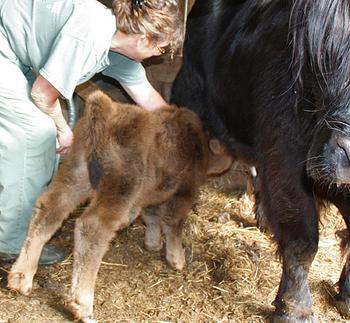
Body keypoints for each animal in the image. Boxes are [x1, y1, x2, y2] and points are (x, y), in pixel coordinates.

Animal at [6, 91, 232, 323]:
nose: (230, 159)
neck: (197, 142)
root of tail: (109, 109)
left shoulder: (151, 194)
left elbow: (151, 217)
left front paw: (152, 243)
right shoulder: (183, 193)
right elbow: (173, 224)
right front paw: (177, 259)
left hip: (75, 177)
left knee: (48, 210)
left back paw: (21, 278)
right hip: (117, 190)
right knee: (92, 228)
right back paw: (83, 305)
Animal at [172, 0, 350, 323]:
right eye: (328, 48)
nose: (348, 151)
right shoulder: (287, 160)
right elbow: (302, 238)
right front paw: (295, 308)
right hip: (190, 95)